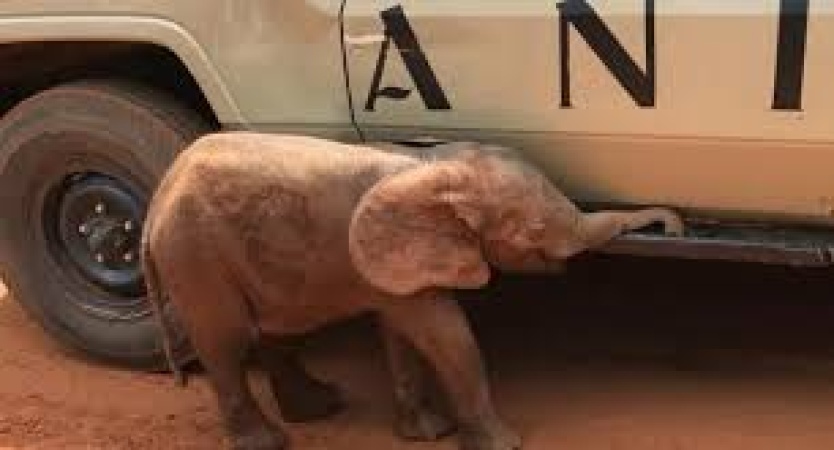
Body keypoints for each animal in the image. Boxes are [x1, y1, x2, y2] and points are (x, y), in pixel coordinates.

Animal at [141, 133, 684, 450]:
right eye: (533, 231)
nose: (675, 228)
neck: (436, 163)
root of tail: (154, 203)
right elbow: (444, 331)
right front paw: (503, 445)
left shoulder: (391, 267)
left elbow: (401, 333)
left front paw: (426, 434)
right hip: (194, 254)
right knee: (227, 341)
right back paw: (268, 443)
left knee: (279, 329)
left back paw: (322, 407)